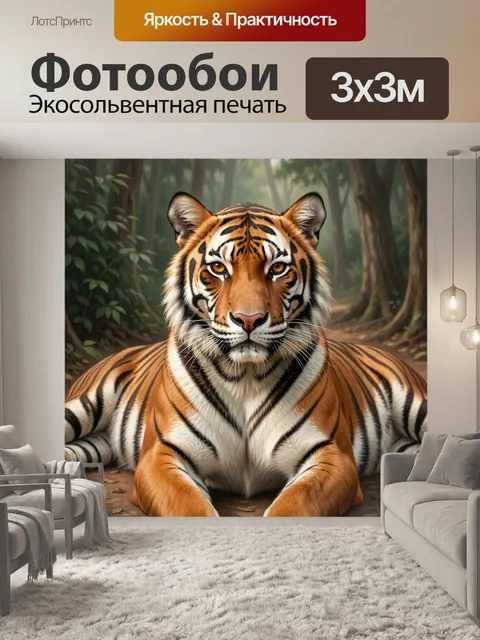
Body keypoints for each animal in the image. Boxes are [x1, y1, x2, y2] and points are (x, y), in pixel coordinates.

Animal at [65, 192, 427, 517]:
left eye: (277, 268)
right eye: (218, 267)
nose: (249, 319)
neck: (245, 375)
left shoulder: (330, 454)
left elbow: (293, 508)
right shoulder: (162, 454)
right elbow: (189, 509)